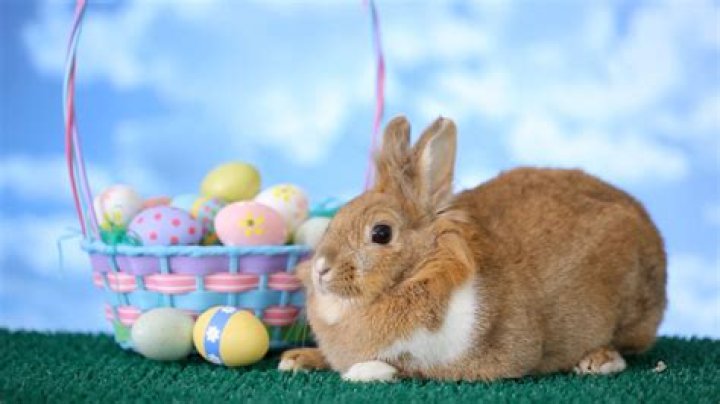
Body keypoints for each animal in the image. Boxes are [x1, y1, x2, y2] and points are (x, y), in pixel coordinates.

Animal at [278, 116, 666, 382]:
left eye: (381, 233)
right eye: (337, 217)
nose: (320, 269)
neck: (420, 269)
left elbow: (407, 367)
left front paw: (363, 372)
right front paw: (297, 358)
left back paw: (598, 361)